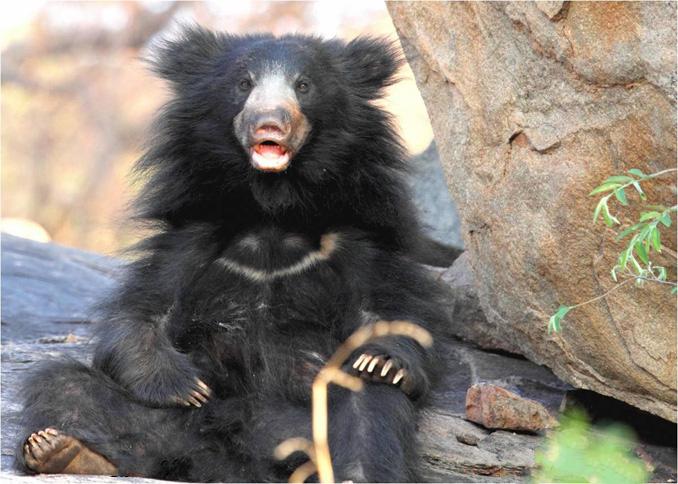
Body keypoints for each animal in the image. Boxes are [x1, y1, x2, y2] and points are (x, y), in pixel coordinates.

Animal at [16, 27, 456, 482]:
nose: (270, 123)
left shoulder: (355, 241)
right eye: (244, 84)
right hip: (175, 429)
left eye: (303, 86)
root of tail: (234, 464)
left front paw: (383, 361)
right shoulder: (192, 240)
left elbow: (388, 311)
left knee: (371, 409)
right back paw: (63, 451)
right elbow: (141, 315)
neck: (272, 212)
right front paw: (185, 386)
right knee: (65, 385)